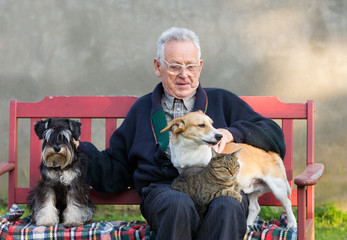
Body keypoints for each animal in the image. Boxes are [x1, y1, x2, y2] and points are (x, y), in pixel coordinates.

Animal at [162, 110, 298, 227]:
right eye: (201, 125)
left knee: (287, 203)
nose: (220, 136)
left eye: (212, 123)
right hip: (252, 191)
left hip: (277, 188)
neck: (189, 149)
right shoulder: (183, 171)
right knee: (255, 208)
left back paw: (291, 223)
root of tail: (269, 155)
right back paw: (247, 226)